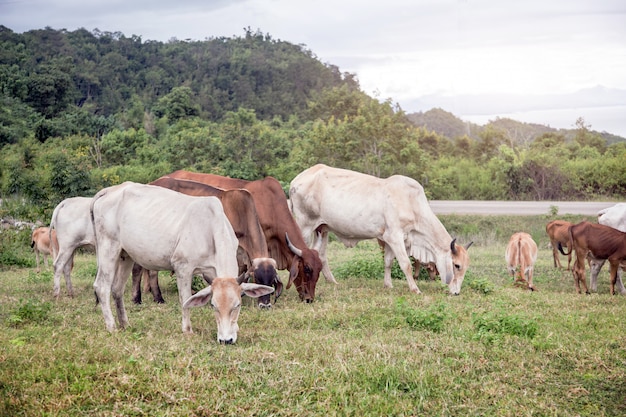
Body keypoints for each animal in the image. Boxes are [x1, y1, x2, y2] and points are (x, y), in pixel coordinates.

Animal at [90, 180, 272, 342]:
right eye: (213, 305)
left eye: (237, 305)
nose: (226, 340)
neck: (209, 228)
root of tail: (110, 190)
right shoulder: (183, 267)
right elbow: (185, 299)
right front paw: (187, 330)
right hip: (108, 247)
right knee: (102, 287)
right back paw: (112, 327)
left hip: (125, 255)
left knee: (117, 289)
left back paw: (125, 324)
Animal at [286, 164, 468, 294]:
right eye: (457, 265)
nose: (456, 293)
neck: (411, 203)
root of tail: (295, 181)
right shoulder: (395, 237)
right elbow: (406, 264)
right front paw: (415, 289)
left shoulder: (388, 239)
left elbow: (388, 262)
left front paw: (388, 285)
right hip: (304, 225)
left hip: (323, 228)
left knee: (321, 255)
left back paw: (332, 281)